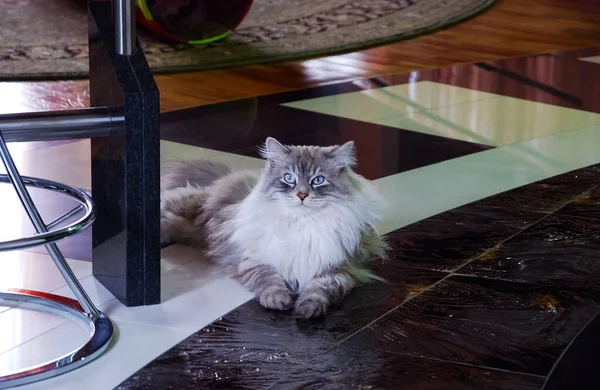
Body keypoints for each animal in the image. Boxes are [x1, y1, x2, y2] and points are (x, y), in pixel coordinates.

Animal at [159, 138, 386, 320]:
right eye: (289, 178)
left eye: (318, 180)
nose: (302, 195)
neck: (301, 225)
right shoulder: (256, 260)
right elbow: (269, 281)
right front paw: (279, 300)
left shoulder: (337, 270)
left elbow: (319, 291)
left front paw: (306, 310)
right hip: (192, 204)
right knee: (170, 200)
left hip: (194, 233)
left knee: (174, 224)